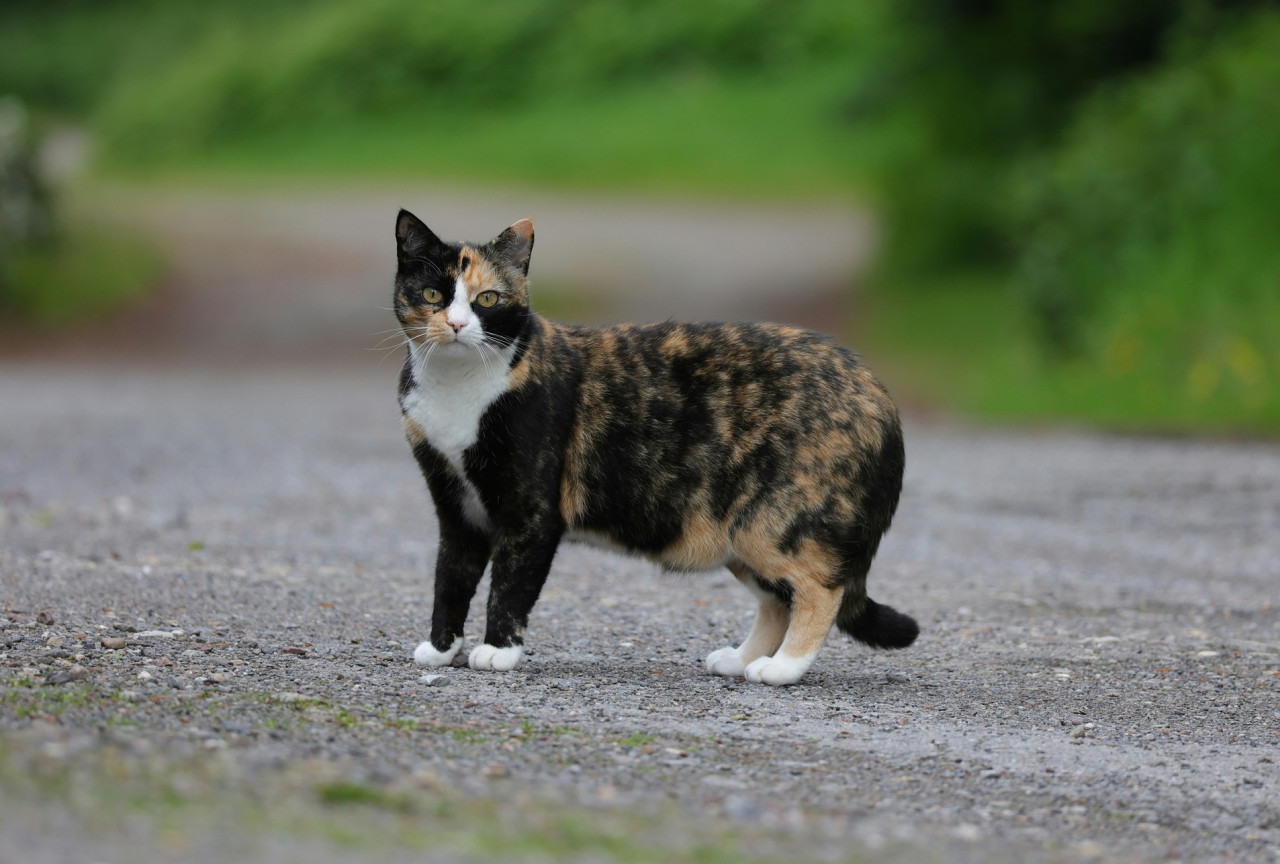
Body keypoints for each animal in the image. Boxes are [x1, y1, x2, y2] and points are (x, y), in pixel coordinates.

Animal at [394, 211, 916, 691]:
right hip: (738, 532)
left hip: (775, 525)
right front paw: (441, 649)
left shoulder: (531, 513)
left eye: (488, 298)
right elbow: (450, 579)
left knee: (820, 589)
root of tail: (880, 395)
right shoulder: (456, 508)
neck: (458, 388)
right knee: (776, 599)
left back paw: (784, 668)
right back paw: (741, 659)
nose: (456, 324)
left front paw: (497, 651)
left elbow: (509, 584)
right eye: (433, 295)